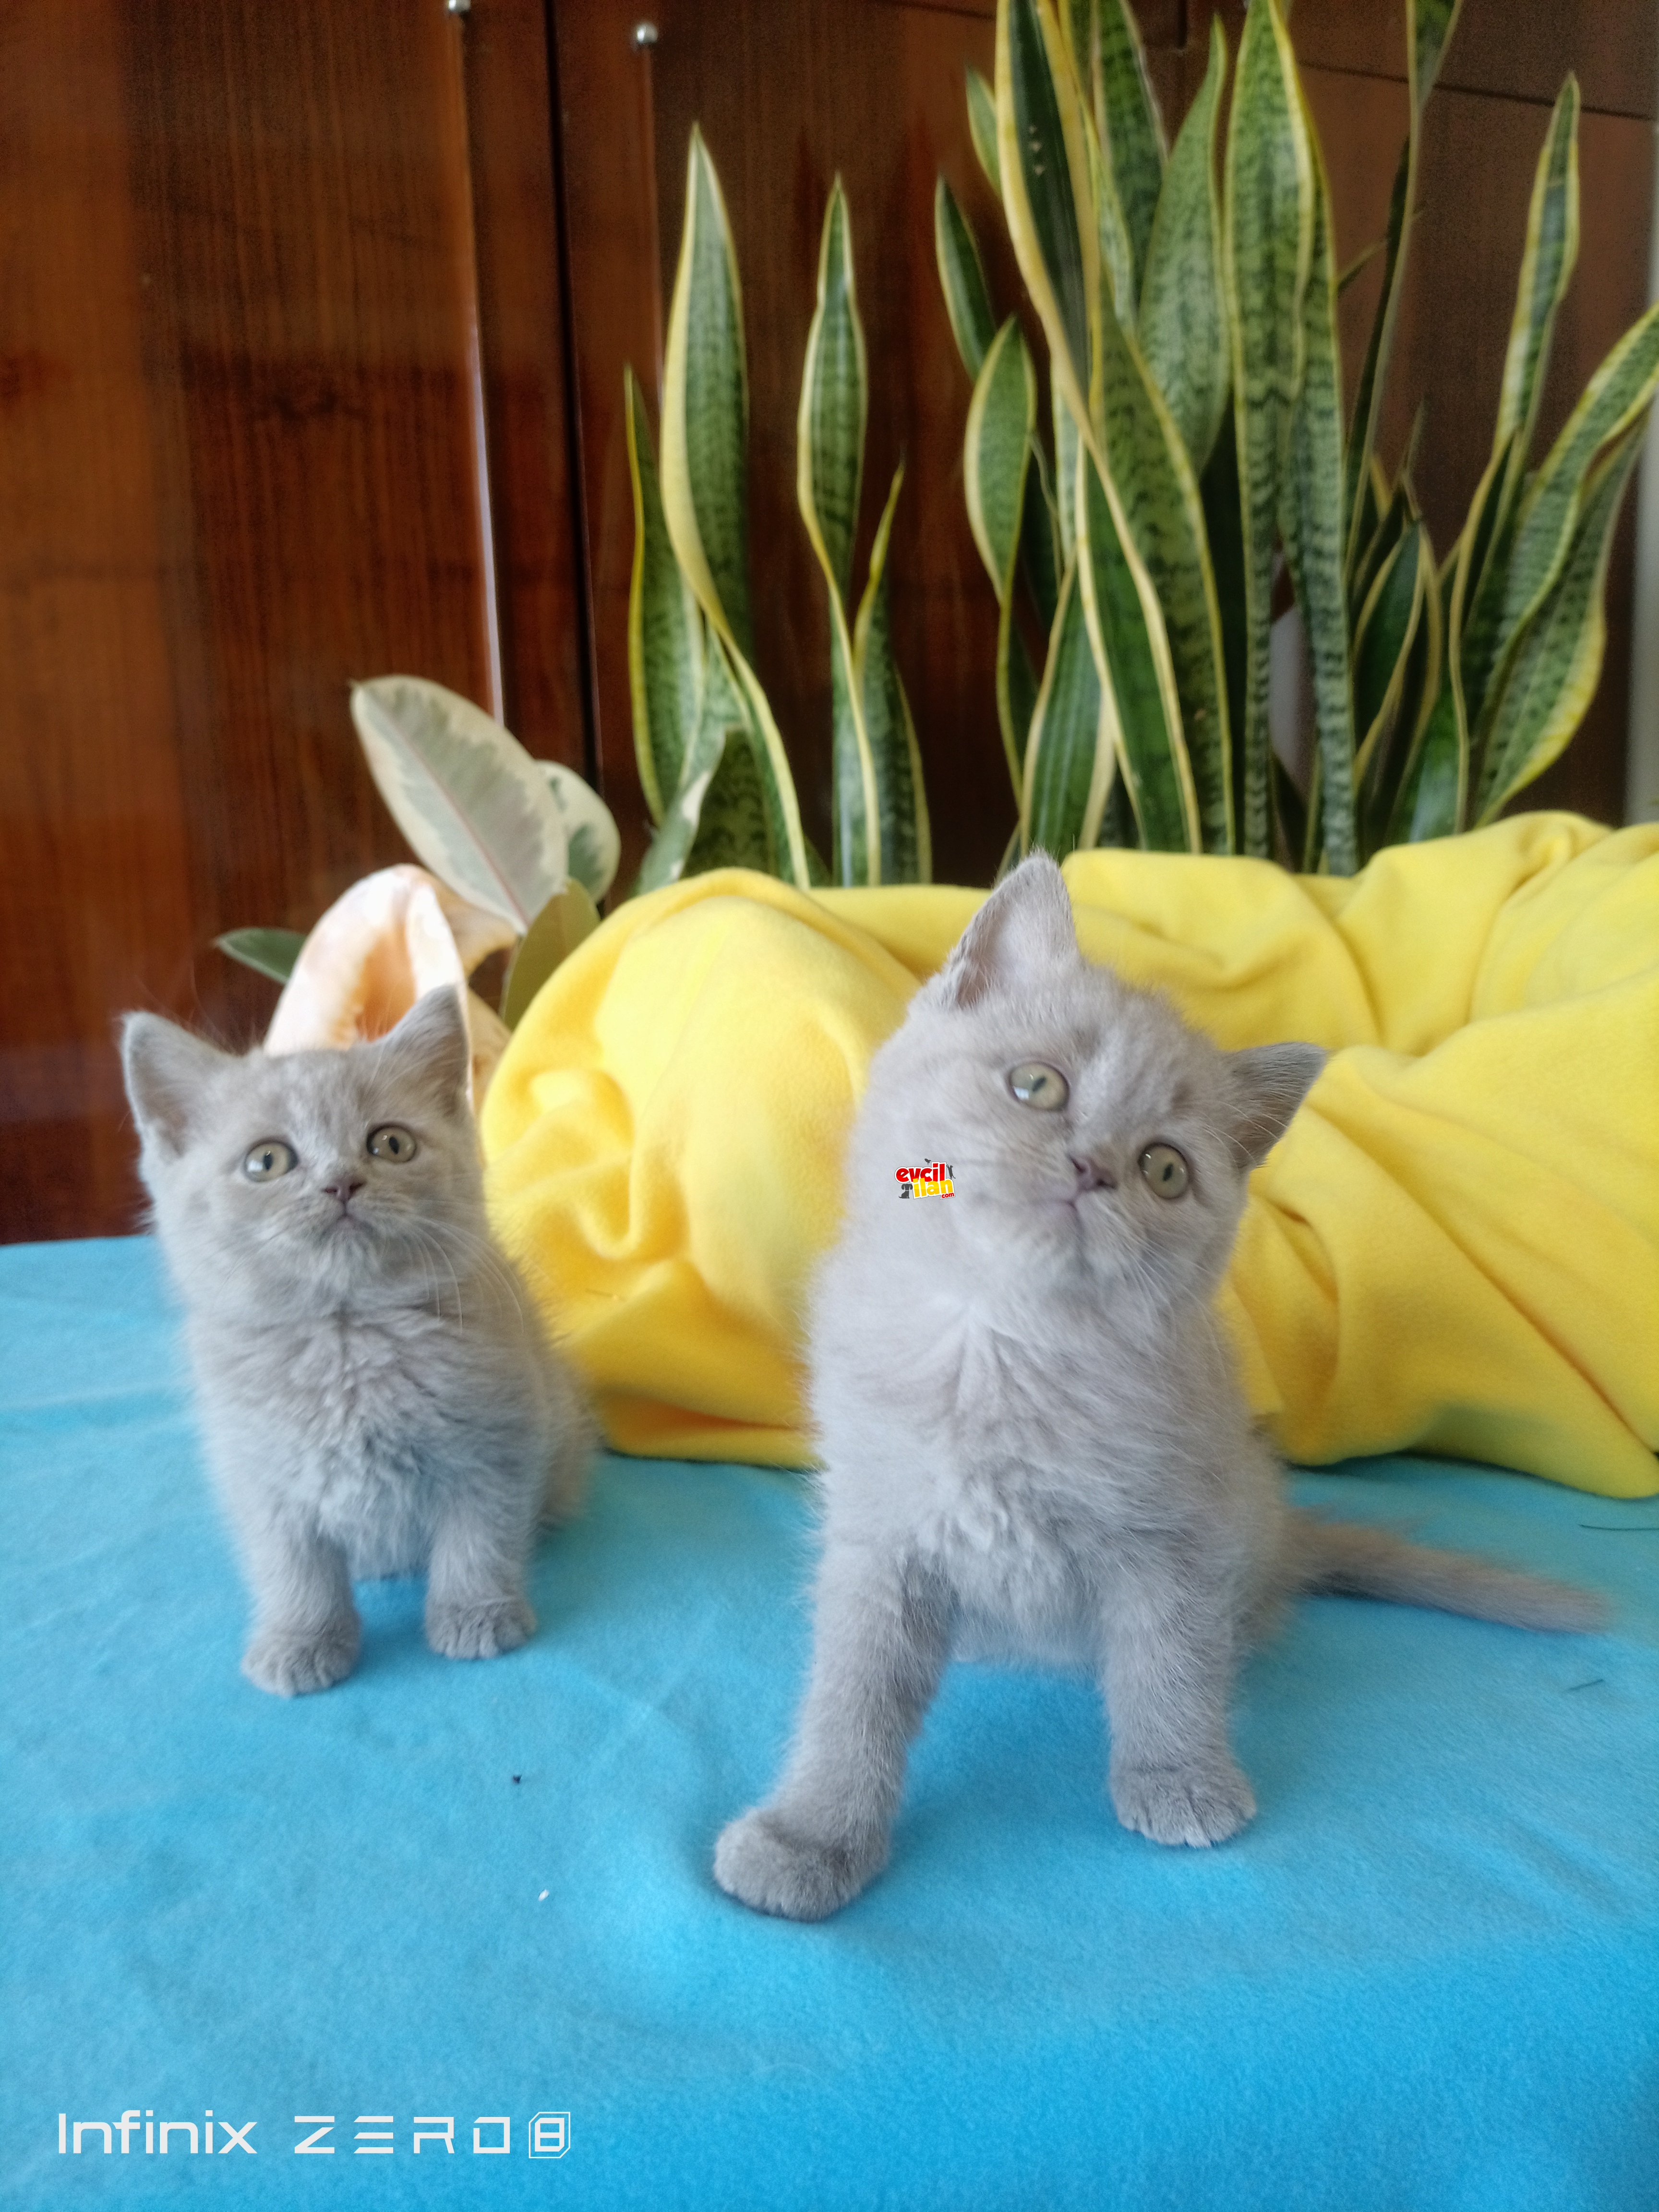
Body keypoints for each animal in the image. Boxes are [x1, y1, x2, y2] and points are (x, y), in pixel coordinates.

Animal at [121, 986, 592, 1690]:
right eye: (267, 1162)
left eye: (390, 1145)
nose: (341, 1182)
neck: (346, 1340)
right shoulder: (262, 1478)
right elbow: (293, 1569)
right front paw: (301, 1640)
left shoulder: (497, 1448)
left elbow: (478, 1539)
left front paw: (476, 1614)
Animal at [716, 845, 1601, 1920]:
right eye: (1037, 1085)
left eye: (1166, 1170)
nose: (1093, 1168)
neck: (1001, 1350)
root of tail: (1286, 1528)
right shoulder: (880, 1538)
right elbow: (850, 1699)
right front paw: (811, 1836)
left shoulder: (1170, 1533)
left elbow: (1166, 1663)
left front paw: (1178, 1776)